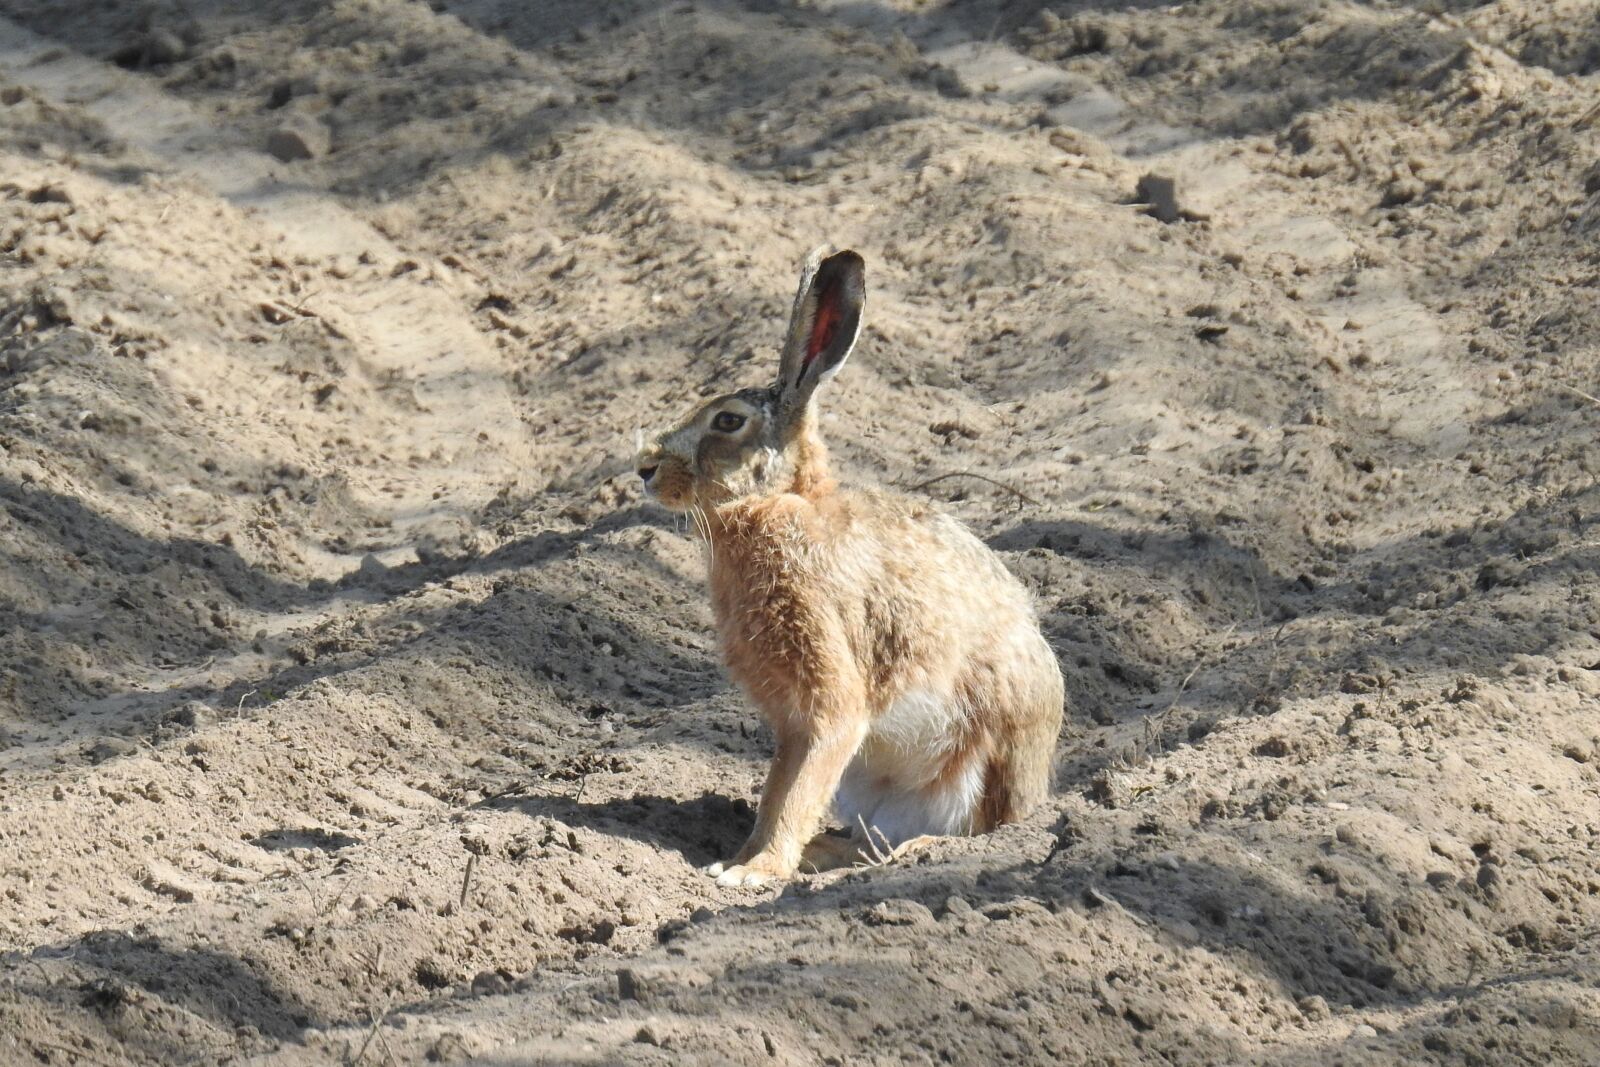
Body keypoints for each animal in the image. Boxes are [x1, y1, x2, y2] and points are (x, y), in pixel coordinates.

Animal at [635, 247, 1064, 888]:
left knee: (976, 829)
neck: (782, 504)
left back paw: (918, 852)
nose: (645, 468)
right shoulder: (792, 723)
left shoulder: (829, 686)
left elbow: (800, 786)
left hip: (994, 744)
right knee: (871, 840)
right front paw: (740, 860)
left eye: (728, 421)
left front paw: (756, 873)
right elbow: (779, 791)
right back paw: (827, 855)